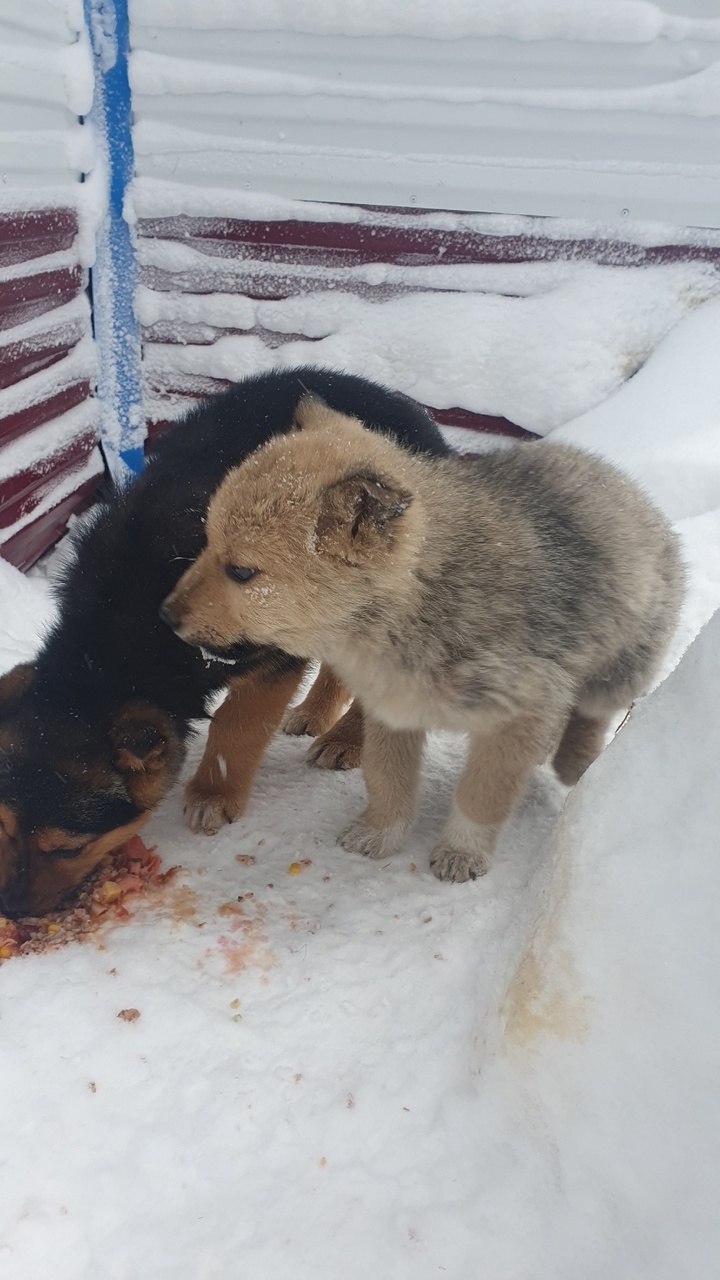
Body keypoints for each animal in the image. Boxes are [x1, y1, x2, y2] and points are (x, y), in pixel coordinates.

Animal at [0, 366, 448, 916]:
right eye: (4, 828)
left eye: (68, 848)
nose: (11, 909)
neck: (109, 644)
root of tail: (408, 407)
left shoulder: (272, 654)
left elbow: (237, 723)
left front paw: (213, 794)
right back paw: (315, 712)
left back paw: (345, 739)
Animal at [162, 399, 681, 880]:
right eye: (205, 541)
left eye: (241, 572)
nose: (165, 615)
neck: (417, 608)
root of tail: (631, 490)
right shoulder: (393, 709)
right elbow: (386, 778)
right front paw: (379, 833)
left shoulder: (521, 712)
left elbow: (481, 795)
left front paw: (462, 852)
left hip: (621, 664)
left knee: (594, 712)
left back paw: (576, 761)